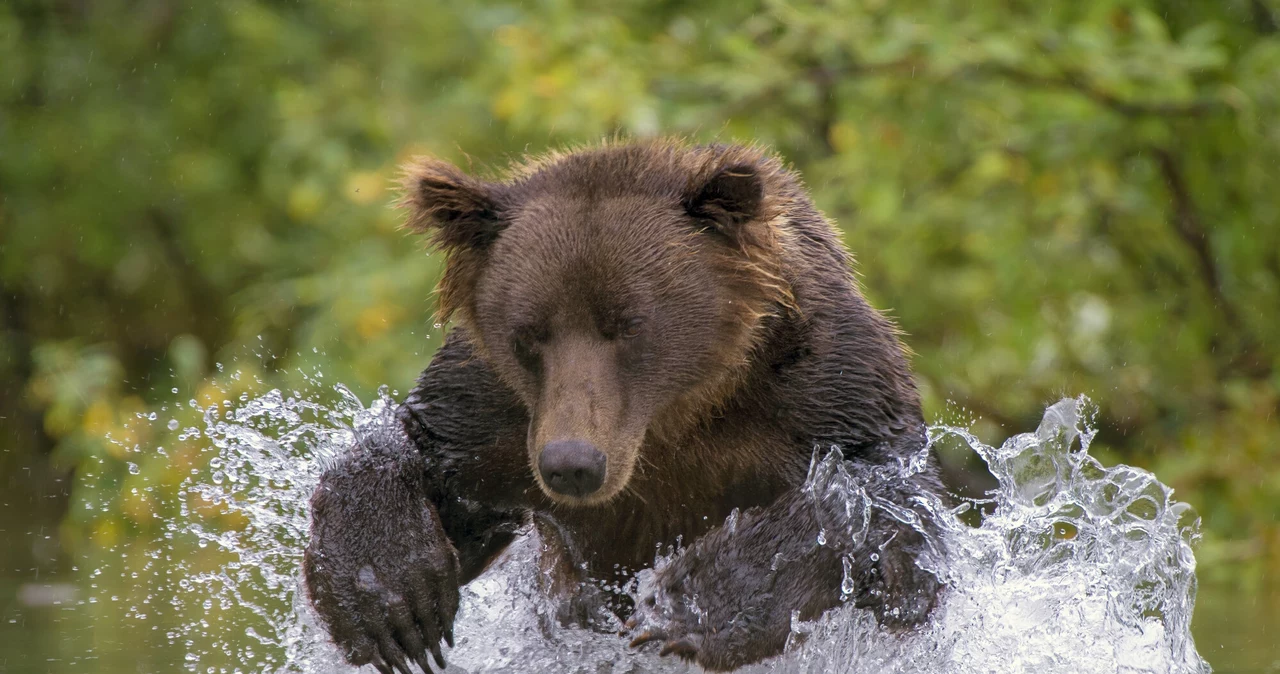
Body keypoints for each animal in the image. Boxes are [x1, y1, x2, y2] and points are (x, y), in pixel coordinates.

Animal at [299, 140, 942, 670]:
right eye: (529, 333)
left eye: (628, 324)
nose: (571, 464)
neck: (679, 414)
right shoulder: (496, 415)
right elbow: (421, 448)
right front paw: (387, 597)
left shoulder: (823, 386)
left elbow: (893, 518)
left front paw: (687, 606)